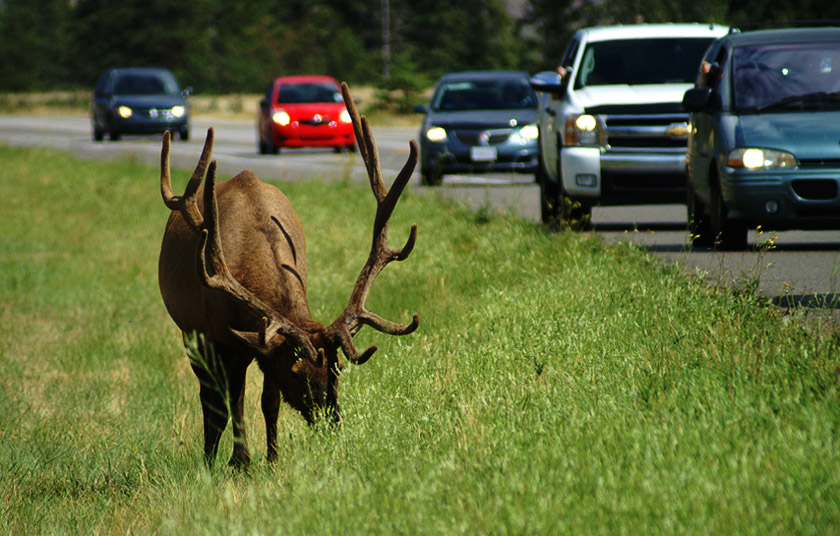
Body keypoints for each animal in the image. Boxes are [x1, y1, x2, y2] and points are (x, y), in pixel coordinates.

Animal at [158, 81, 420, 466]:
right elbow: (232, 401)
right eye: (298, 375)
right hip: (190, 334)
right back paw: (210, 457)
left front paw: (272, 459)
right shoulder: (224, 340)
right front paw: (241, 462)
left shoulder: (265, 349)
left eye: (337, 368)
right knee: (211, 400)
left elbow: (269, 402)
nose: (332, 423)